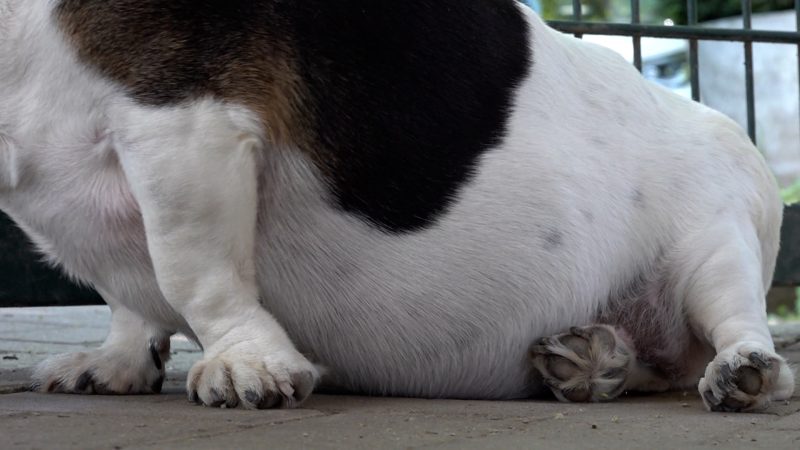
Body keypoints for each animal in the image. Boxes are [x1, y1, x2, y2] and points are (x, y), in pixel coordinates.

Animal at [0, 0, 792, 412]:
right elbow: (129, 296)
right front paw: (117, 360)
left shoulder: (182, 124)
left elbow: (191, 270)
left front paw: (247, 362)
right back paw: (592, 360)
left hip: (715, 240)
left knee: (739, 328)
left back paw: (741, 370)